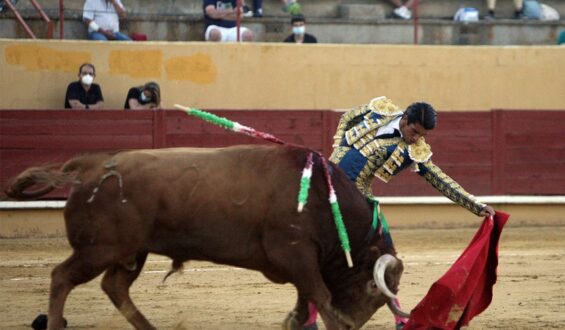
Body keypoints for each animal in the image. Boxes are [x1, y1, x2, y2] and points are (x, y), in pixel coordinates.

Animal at [4, 145, 406, 330]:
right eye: (374, 289)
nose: (352, 324)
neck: (324, 198)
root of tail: (89, 165)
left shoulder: (300, 261)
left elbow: (305, 298)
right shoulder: (297, 253)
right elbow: (319, 295)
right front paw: (333, 323)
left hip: (131, 252)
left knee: (114, 286)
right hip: (99, 249)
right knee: (62, 277)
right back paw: (55, 323)